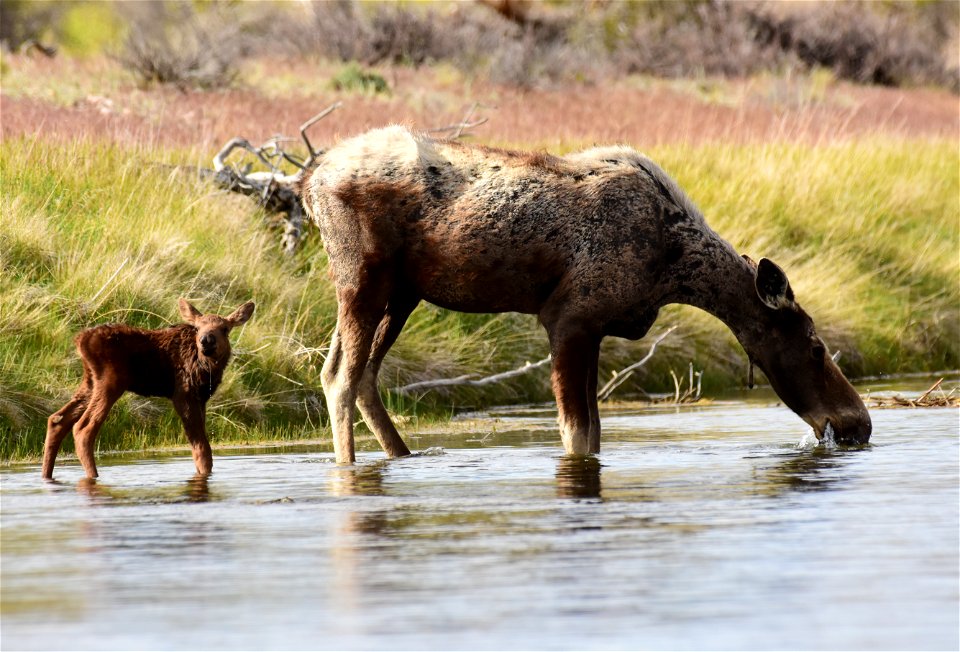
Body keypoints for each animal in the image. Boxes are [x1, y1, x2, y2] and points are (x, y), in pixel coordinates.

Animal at [42, 300, 253, 478]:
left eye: (224, 329)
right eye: (197, 327)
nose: (206, 340)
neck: (208, 370)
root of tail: (80, 340)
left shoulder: (201, 398)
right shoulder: (183, 394)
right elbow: (202, 449)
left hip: (90, 381)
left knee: (58, 419)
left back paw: (47, 475)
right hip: (110, 381)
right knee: (83, 427)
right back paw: (93, 476)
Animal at [298, 126, 872, 464]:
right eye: (815, 347)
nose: (859, 424)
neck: (673, 265)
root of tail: (308, 181)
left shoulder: (594, 328)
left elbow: (594, 433)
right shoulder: (568, 319)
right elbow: (575, 437)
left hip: (401, 295)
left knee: (355, 376)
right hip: (361, 281)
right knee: (341, 380)